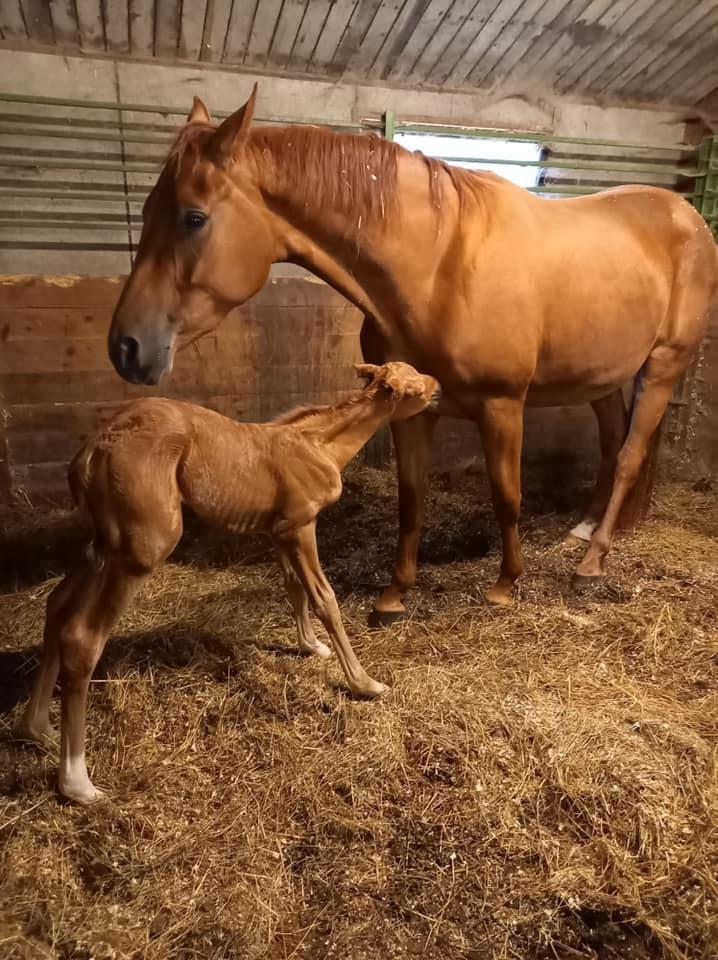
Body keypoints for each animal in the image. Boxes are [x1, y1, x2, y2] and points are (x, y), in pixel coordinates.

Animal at [18, 360, 438, 804]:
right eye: (414, 388)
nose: (438, 386)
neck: (320, 445)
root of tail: (90, 454)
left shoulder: (279, 530)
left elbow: (294, 588)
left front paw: (310, 646)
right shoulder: (301, 524)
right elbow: (324, 597)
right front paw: (364, 682)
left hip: (100, 543)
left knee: (57, 605)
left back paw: (36, 727)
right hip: (142, 546)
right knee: (82, 635)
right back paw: (77, 783)